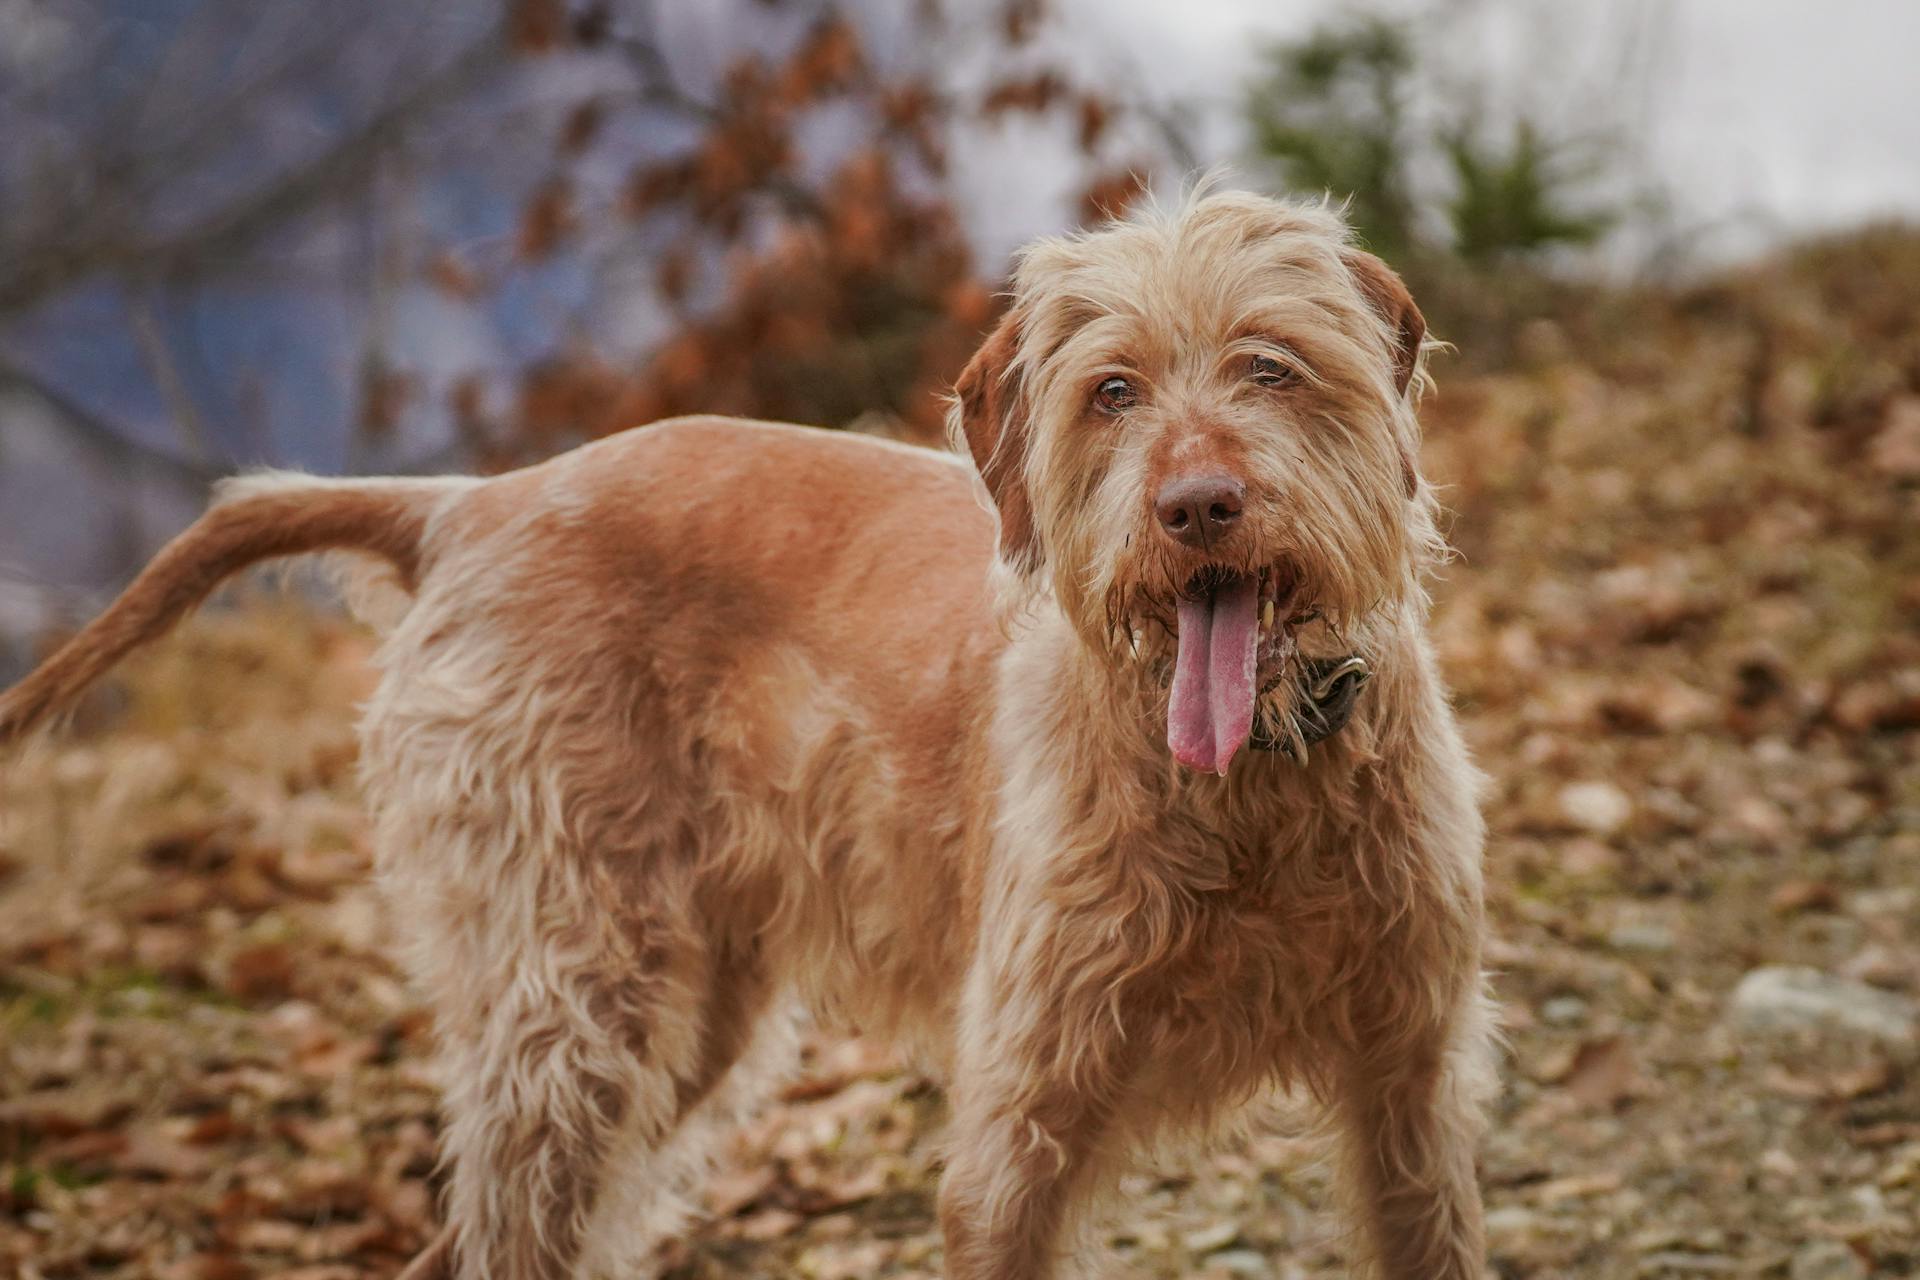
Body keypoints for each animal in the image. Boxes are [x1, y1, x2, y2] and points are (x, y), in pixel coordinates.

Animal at [0, 192, 1497, 1280]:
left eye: (1270, 368)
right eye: (1112, 391)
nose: (1195, 508)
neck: (1256, 792)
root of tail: (472, 503)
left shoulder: (1411, 1100)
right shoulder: (1019, 1129)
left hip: (687, 1016)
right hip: (571, 1011)